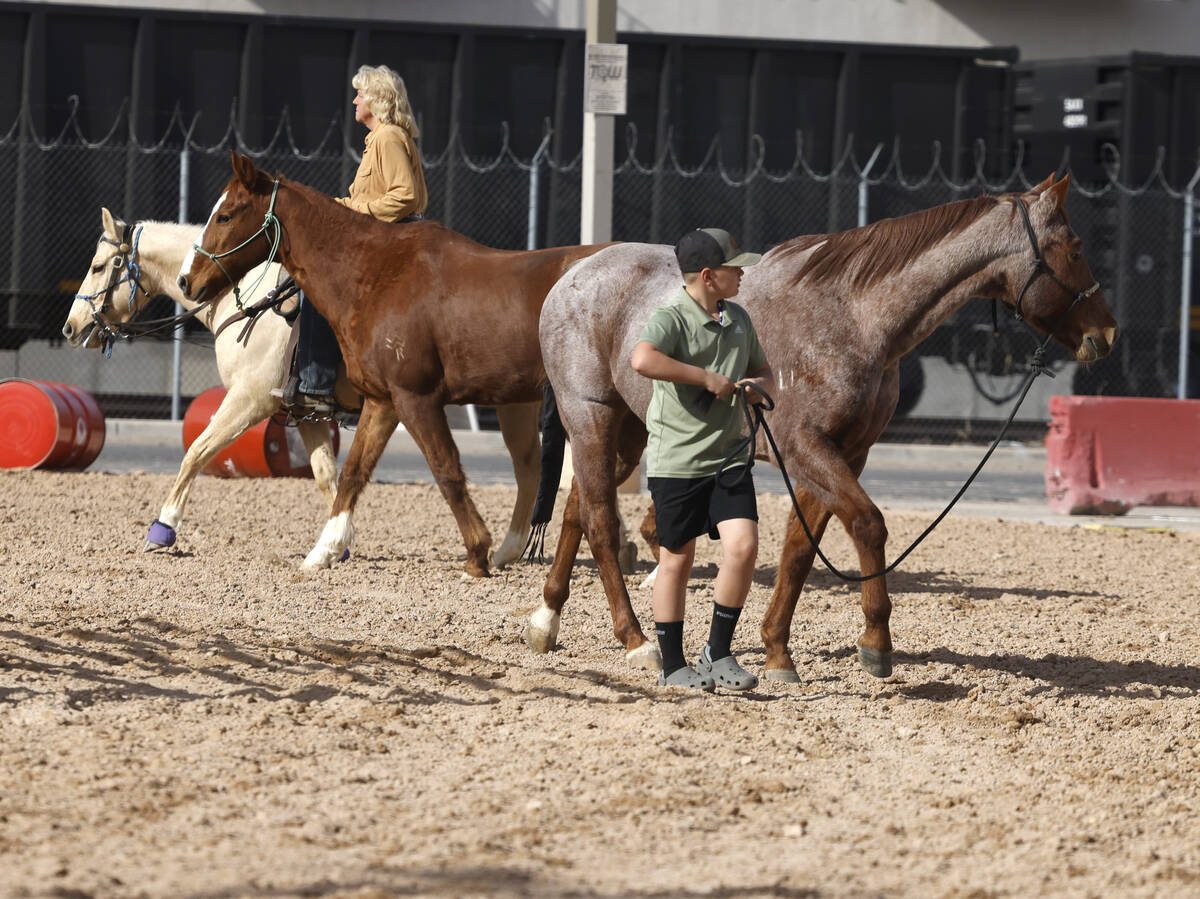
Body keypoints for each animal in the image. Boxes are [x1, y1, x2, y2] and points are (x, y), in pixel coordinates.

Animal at [59, 208, 540, 568]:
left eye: (99, 266)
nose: (71, 327)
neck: (244, 297)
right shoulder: (306, 412)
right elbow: (328, 474)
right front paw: (338, 544)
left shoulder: (248, 401)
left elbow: (197, 451)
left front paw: (163, 527)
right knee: (529, 469)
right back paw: (509, 550)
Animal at [175, 153, 609, 576]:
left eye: (224, 215)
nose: (186, 280)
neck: (377, 274)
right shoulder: (382, 400)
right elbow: (352, 472)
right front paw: (325, 550)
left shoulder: (415, 398)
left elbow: (446, 469)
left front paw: (476, 552)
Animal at [525, 174, 1113, 681]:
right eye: (1075, 248)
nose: (1105, 334)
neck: (854, 317)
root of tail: (574, 274)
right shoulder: (807, 448)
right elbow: (868, 525)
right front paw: (876, 644)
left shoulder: (843, 454)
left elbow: (799, 550)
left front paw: (777, 652)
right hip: (593, 416)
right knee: (601, 521)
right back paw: (636, 640)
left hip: (628, 432)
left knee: (579, 507)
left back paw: (547, 620)